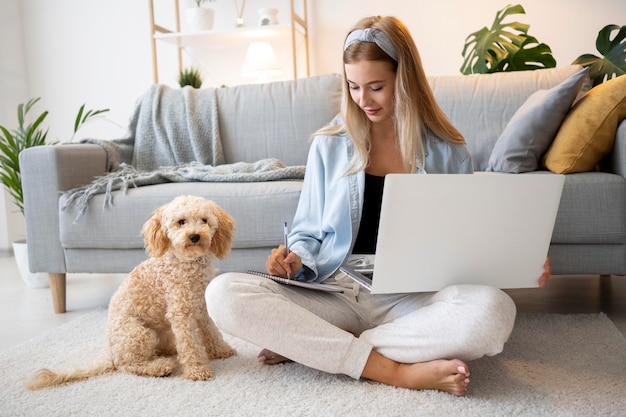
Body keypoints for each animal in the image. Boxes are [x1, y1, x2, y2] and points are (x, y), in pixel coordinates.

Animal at [28, 193, 235, 388]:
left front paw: (222, 350)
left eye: (204, 220)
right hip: (139, 333)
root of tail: (108, 350)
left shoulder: (202, 307)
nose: (194, 236)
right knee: (128, 365)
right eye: (181, 222)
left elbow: (212, 331)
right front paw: (197, 370)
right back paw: (160, 367)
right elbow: (190, 344)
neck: (188, 264)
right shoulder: (180, 313)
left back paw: (169, 351)